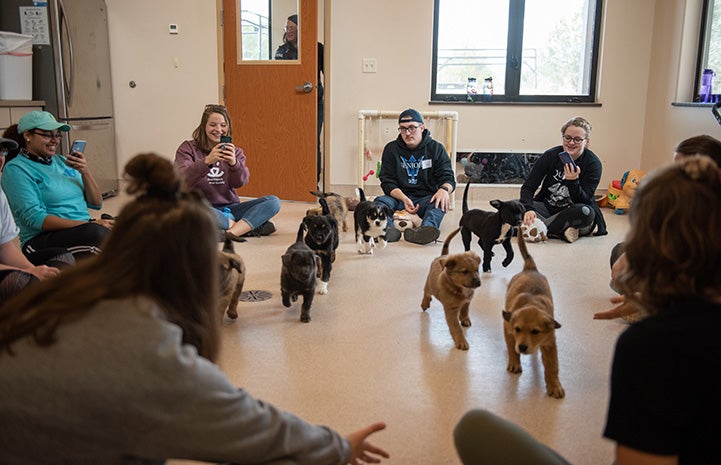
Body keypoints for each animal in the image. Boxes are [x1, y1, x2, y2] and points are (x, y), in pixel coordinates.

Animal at [500, 232, 564, 398]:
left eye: (535, 332)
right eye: (517, 329)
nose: (522, 347)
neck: (531, 304)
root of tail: (530, 268)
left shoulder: (550, 343)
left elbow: (552, 366)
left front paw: (554, 386)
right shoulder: (508, 331)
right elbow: (512, 349)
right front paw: (514, 363)